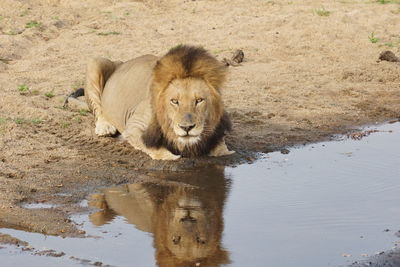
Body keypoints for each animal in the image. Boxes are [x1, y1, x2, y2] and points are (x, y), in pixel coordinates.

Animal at [84, 45, 234, 160]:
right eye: (174, 101)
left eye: (199, 100)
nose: (187, 128)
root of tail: (122, 63)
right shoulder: (133, 126)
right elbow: (150, 145)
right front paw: (170, 157)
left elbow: (220, 147)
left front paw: (225, 151)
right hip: (96, 62)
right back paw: (105, 127)